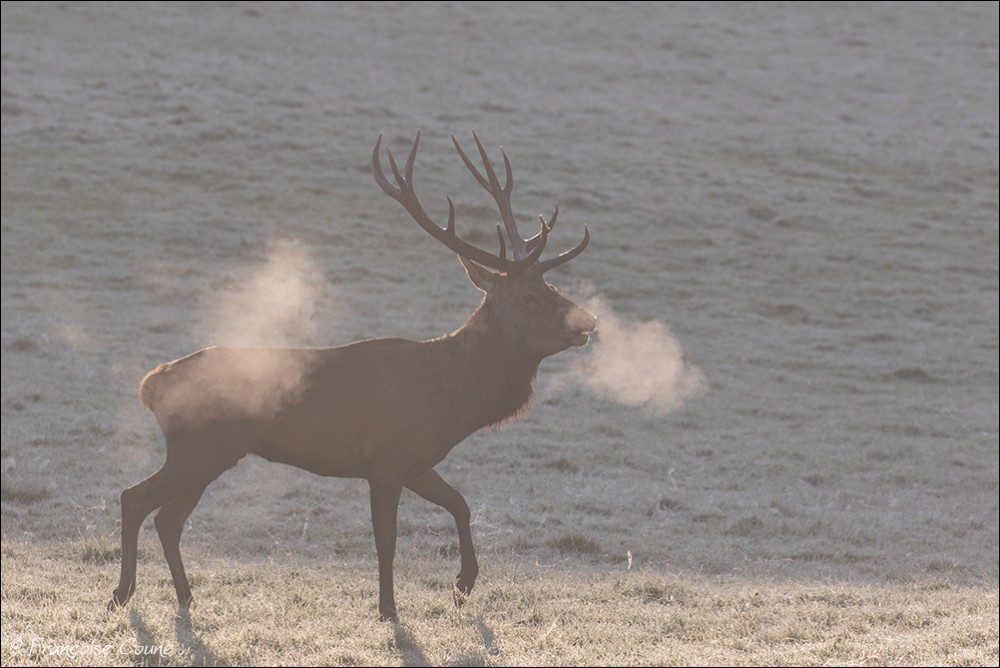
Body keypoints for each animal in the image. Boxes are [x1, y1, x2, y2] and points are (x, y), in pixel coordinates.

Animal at [108, 130, 595, 622]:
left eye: (552, 287)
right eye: (531, 297)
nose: (589, 320)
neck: (450, 399)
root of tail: (152, 384)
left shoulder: (416, 461)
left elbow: (460, 503)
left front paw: (462, 585)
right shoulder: (384, 459)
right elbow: (387, 540)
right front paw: (389, 609)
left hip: (210, 454)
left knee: (168, 519)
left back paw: (185, 596)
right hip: (199, 448)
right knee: (135, 498)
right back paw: (121, 593)